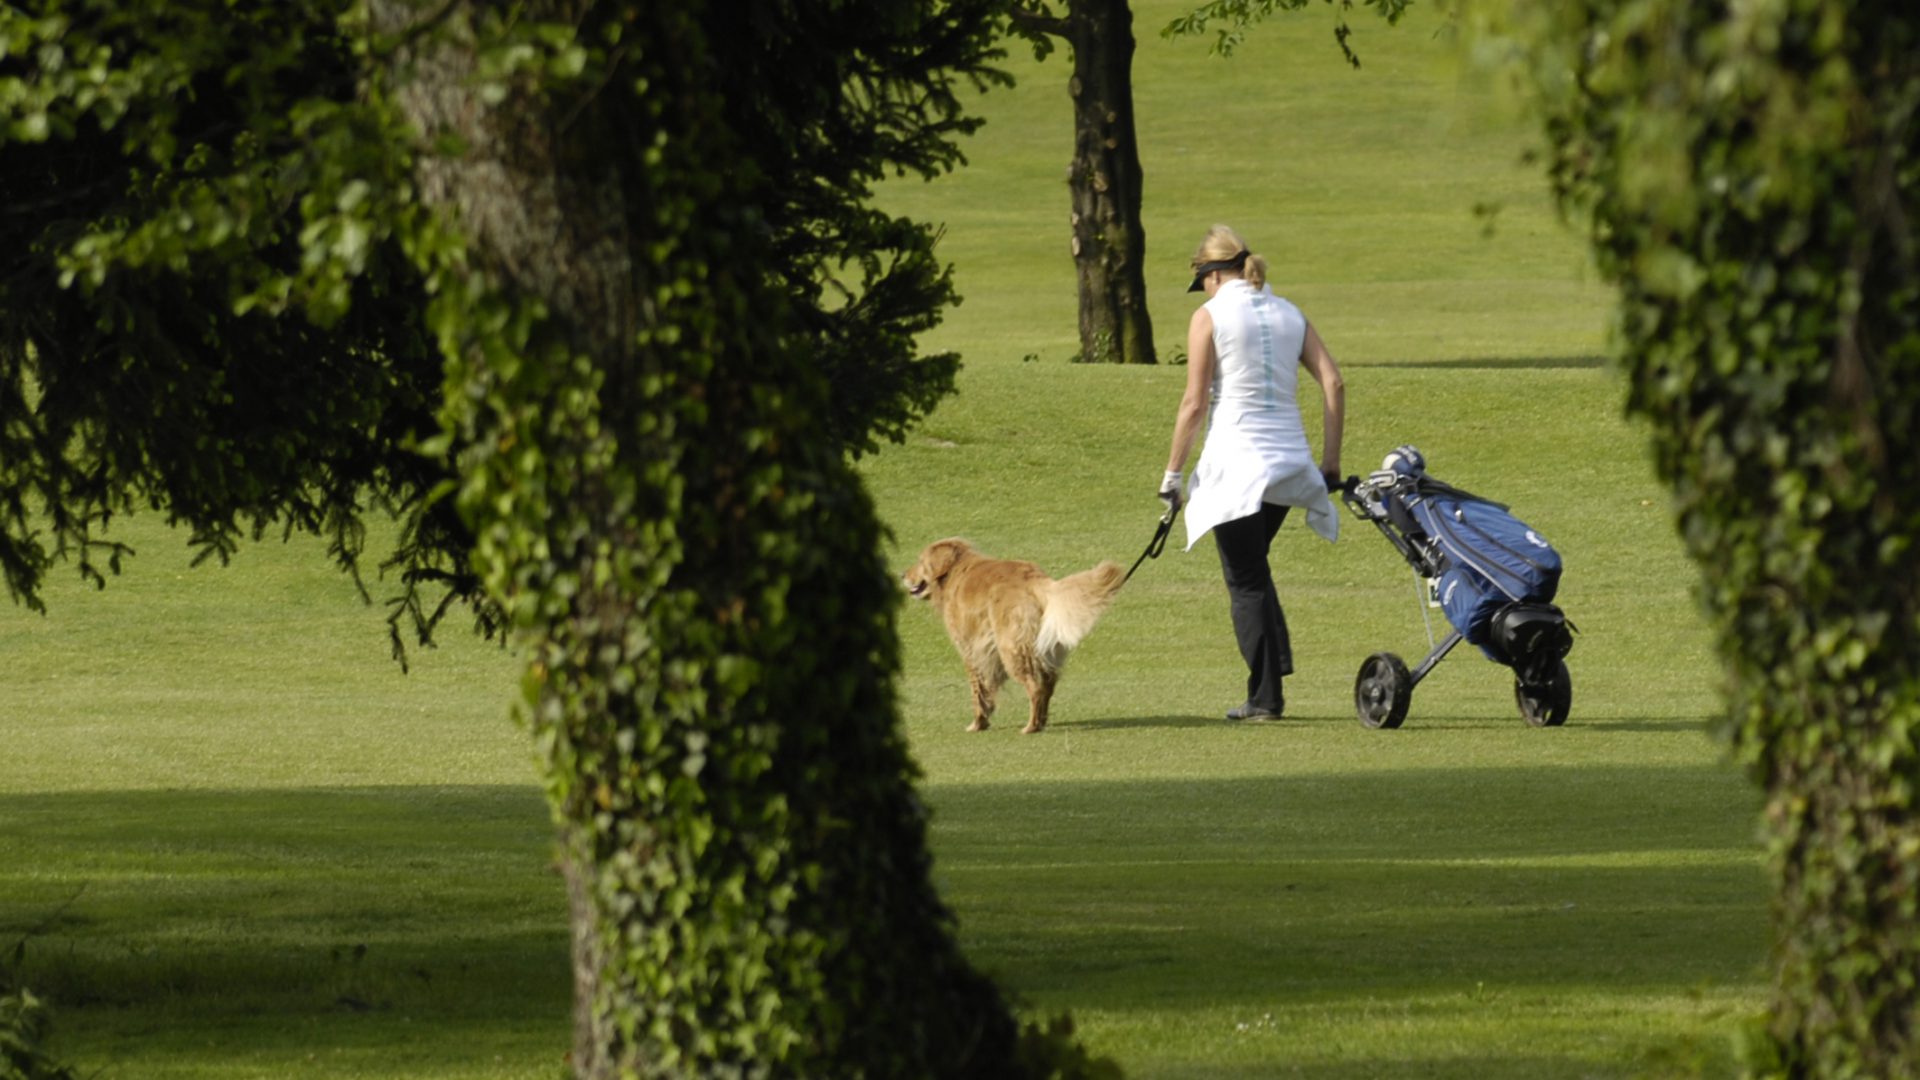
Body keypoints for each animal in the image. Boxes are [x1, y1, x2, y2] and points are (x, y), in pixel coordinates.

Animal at [898, 538, 1121, 730]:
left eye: (920, 561)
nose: (902, 575)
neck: (955, 571)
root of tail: (1036, 580)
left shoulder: (970, 649)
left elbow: (978, 689)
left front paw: (978, 723)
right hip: (1043, 650)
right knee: (1048, 685)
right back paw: (1041, 722)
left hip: (1012, 650)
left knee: (1035, 687)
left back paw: (1030, 727)